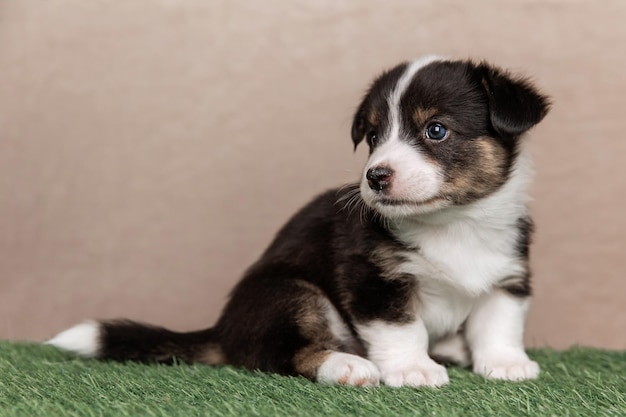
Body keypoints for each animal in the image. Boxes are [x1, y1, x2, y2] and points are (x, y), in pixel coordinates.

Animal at [47, 55, 544, 386]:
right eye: (373, 136)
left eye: (435, 130)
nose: (375, 176)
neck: (453, 221)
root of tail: (222, 330)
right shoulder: (373, 280)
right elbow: (403, 328)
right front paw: (413, 369)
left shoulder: (509, 278)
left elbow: (499, 324)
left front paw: (505, 364)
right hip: (292, 294)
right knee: (282, 354)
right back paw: (347, 365)